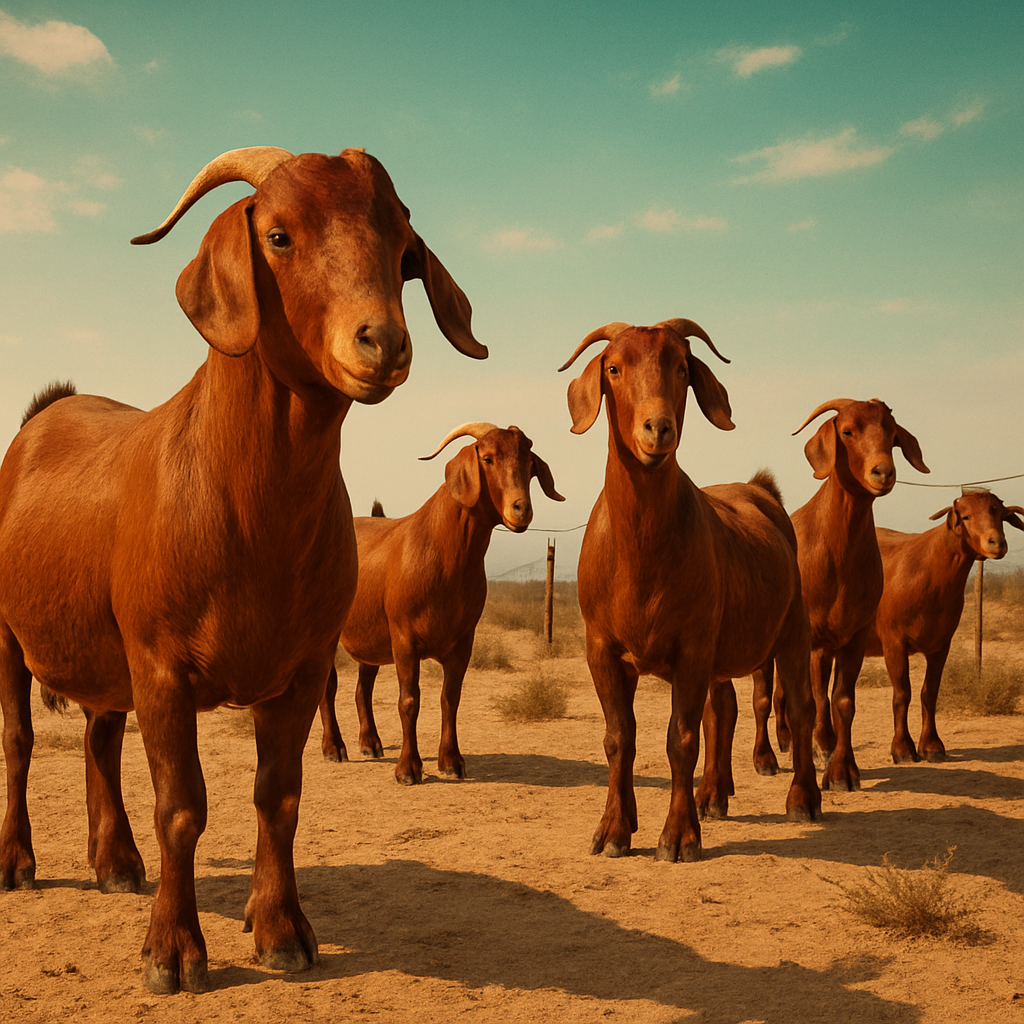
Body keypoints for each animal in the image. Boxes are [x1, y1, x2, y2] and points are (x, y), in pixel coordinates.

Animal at [0, 146, 484, 994]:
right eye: (280, 236)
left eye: (403, 251)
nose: (382, 343)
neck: (249, 517)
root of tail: (44, 415)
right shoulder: (161, 666)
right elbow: (181, 807)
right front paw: (172, 951)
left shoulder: (299, 667)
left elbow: (279, 798)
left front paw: (282, 930)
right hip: (7, 635)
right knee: (20, 740)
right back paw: (18, 863)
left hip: (104, 650)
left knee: (97, 738)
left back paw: (116, 863)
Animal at [317, 423, 563, 783]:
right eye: (487, 458)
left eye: (530, 464)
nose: (521, 509)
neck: (442, 554)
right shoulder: (404, 639)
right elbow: (409, 700)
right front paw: (408, 769)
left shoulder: (462, 641)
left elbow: (451, 698)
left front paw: (451, 761)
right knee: (328, 684)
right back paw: (333, 748)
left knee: (363, 686)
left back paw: (371, 743)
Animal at [561, 319, 820, 863]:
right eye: (613, 368)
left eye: (681, 367)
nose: (657, 428)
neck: (641, 555)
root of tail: (760, 491)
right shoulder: (603, 648)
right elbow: (619, 737)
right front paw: (615, 828)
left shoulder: (693, 646)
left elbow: (681, 738)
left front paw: (677, 836)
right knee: (723, 710)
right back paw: (713, 795)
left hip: (792, 628)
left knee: (800, 708)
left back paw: (803, 800)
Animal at [754, 399, 929, 792]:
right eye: (847, 431)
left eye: (892, 435)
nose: (883, 473)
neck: (836, 553)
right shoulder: (814, 638)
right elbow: (816, 698)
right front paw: (821, 750)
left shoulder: (855, 635)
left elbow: (843, 700)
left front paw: (841, 770)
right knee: (762, 695)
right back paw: (766, 758)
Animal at [866, 489, 1023, 763]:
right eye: (966, 516)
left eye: (999, 513)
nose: (997, 543)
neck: (926, 571)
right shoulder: (893, 641)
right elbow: (901, 694)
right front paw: (902, 749)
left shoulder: (940, 644)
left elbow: (929, 693)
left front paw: (931, 747)